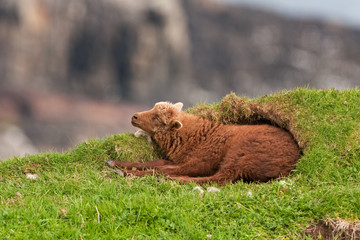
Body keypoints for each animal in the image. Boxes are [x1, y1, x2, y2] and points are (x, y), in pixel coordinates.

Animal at [105, 101, 300, 186]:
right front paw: (115, 163)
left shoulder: (201, 161)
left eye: (157, 118)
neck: (194, 137)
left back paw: (170, 179)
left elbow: (162, 168)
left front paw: (125, 172)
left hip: (241, 153)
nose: (134, 117)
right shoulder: (181, 159)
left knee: (220, 178)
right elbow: (157, 163)